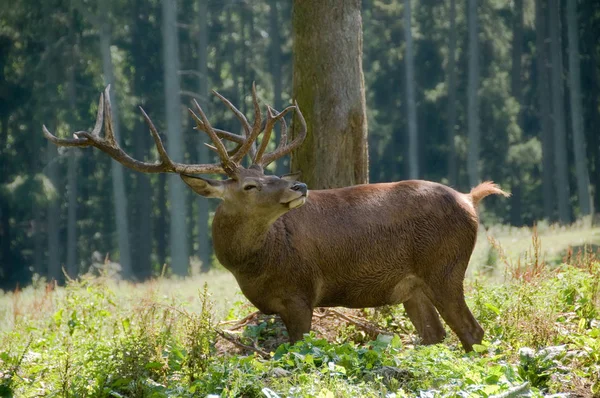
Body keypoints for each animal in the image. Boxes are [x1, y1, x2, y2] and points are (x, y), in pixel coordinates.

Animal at [44, 84, 508, 352]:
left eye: (268, 174)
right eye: (251, 184)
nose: (299, 186)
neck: (255, 266)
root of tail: (470, 199)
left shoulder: (301, 294)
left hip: (445, 266)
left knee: (473, 332)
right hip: (413, 287)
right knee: (435, 335)